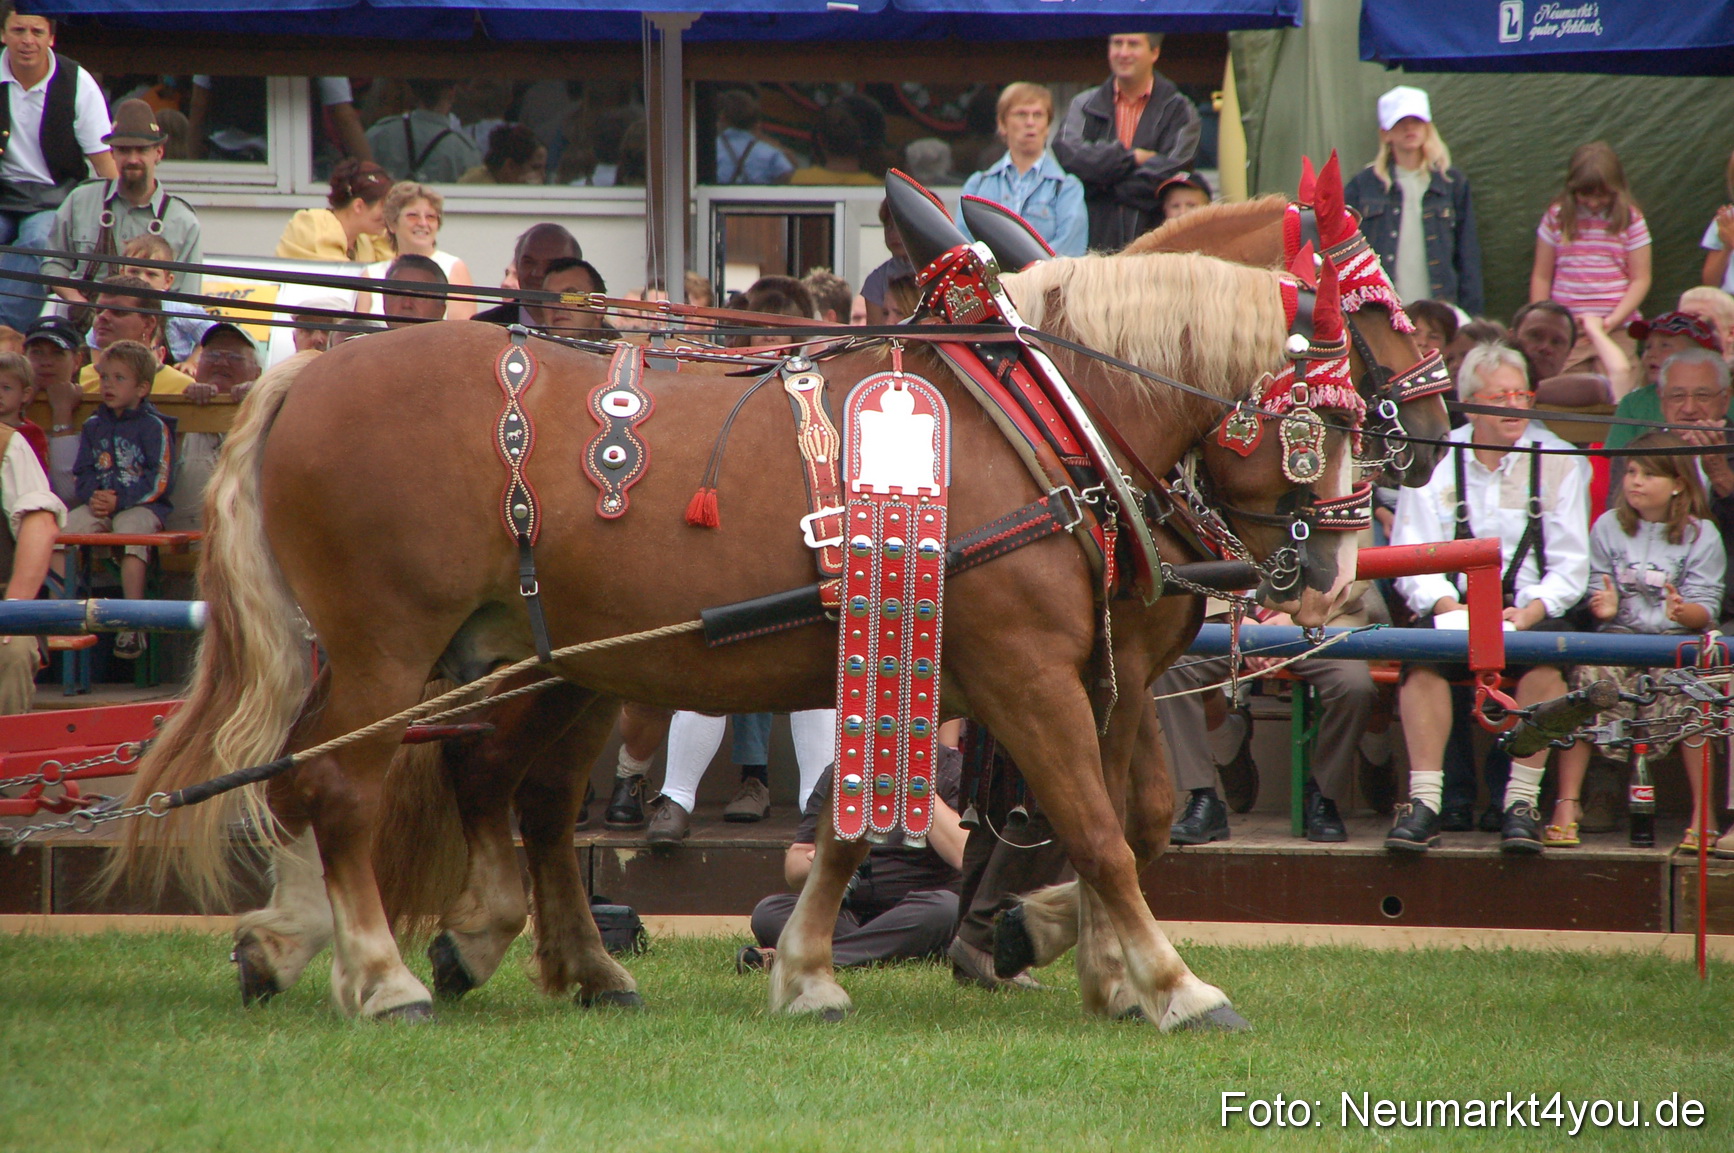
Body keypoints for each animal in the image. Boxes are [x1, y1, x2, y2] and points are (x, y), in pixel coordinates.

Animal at [107, 245, 1364, 1027]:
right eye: (1326, 421)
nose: (1339, 570)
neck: (1045, 419)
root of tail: (306, 380)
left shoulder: (999, 668)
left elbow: (891, 831)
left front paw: (823, 972)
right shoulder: (1023, 673)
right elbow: (1099, 829)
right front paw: (1171, 982)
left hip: (546, 658)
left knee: (494, 795)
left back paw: (496, 951)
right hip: (386, 647)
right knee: (342, 790)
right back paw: (379, 971)